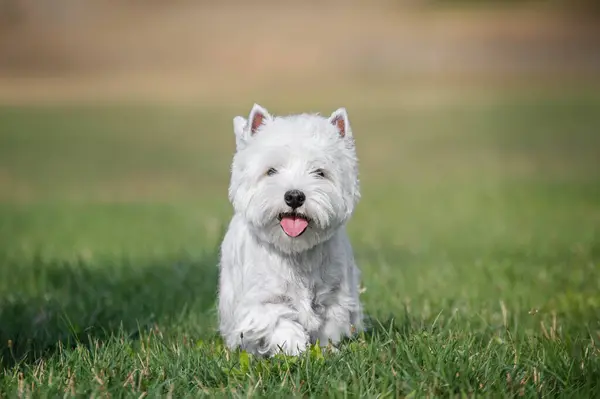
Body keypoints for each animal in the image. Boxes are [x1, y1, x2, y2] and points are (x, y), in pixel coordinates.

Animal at [218, 104, 364, 358]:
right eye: (271, 171)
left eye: (319, 172)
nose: (294, 196)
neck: (296, 252)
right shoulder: (261, 302)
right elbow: (281, 323)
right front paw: (295, 350)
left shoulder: (334, 297)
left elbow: (329, 329)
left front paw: (327, 351)